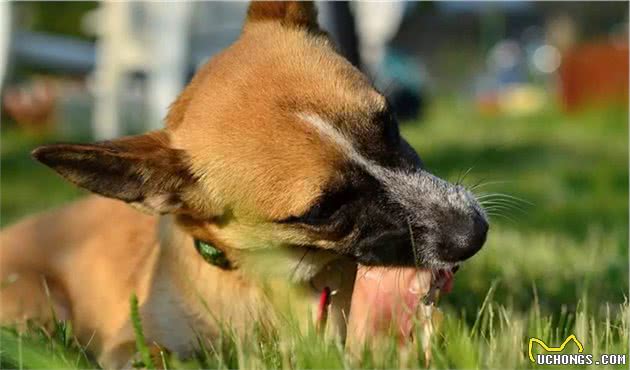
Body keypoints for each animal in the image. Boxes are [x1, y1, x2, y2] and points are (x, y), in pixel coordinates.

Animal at [0, 2, 488, 368]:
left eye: (388, 122)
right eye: (321, 211)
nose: (474, 233)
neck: (274, 281)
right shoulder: (129, 346)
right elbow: (159, 355)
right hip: (38, 307)